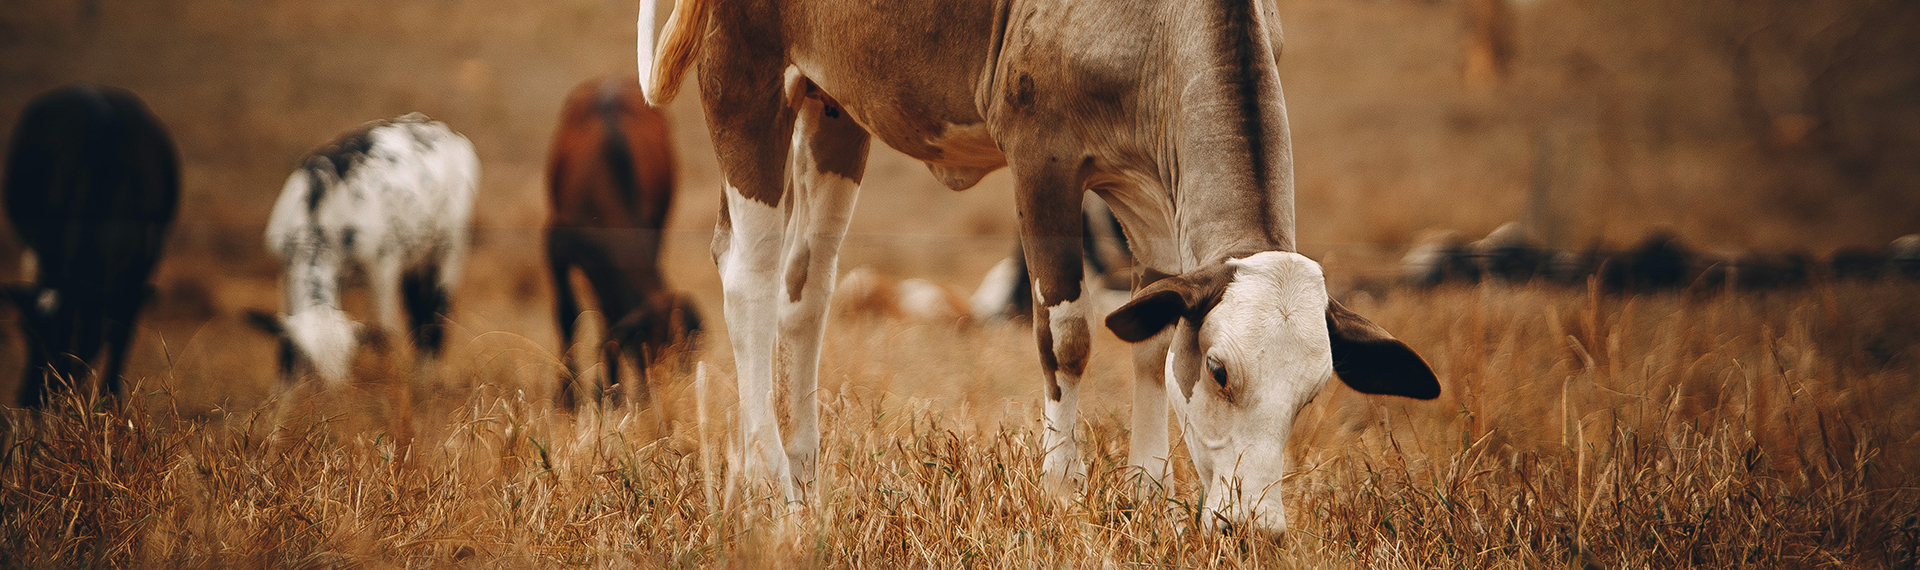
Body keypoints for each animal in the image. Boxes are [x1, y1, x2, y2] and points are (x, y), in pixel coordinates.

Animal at [3, 82, 181, 406]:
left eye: (72, 334)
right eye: (24, 330)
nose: (35, 397)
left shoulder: (141, 269)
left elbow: (121, 334)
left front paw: (111, 399)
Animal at [249, 112, 478, 393]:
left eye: (349, 358)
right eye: (310, 361)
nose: (332, 391)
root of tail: (435, 126)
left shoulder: (382, 265)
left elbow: (385, 332)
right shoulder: (285, 269)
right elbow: (285, 341)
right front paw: (283, 394)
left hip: (450, 245)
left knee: (438, 308)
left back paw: (426, 377)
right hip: (414, 255)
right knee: (417, 308)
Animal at [545, 77, 702, 410]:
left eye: (678, 357)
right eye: (646, 344)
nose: (654, 394)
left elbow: (609, 316)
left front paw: (609, 392)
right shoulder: (554, 244)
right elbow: (567, 314)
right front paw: (566, 397)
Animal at [637, 0, 1436, 533]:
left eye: (1312, 393)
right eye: (1220, 371)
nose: (1256, 531)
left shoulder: (1150, 190)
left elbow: (1148, 339)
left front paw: (1148, 493)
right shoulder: (1042, 160)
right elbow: (1069, 337)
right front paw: (1062, 490)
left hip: (834, 109)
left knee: (806, 288)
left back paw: (804, 481)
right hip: (743, 75)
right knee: (749, 278)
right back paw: (767, 485)